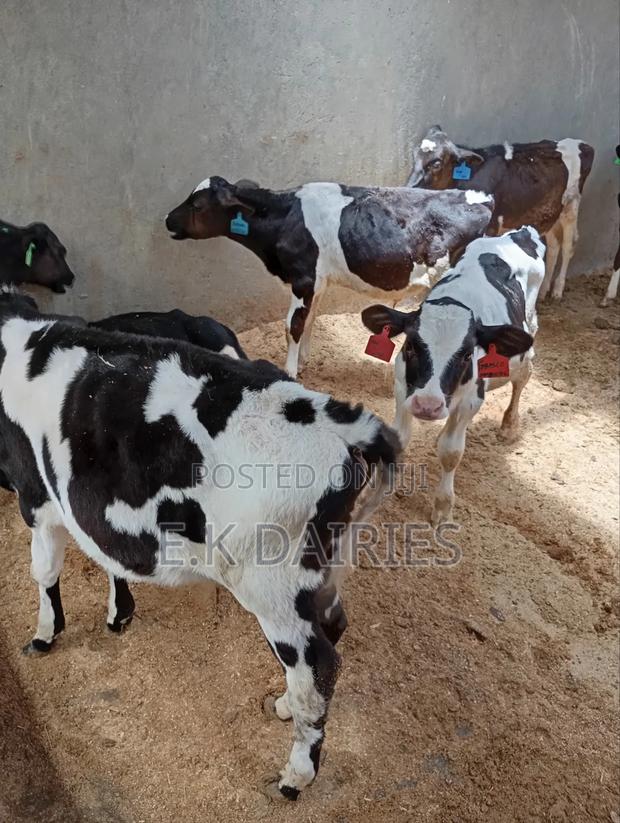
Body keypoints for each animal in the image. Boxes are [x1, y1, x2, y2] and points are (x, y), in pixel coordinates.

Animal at [165, 176, 494, 378]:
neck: (287, 216)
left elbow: (293, 325)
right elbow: (310, 318)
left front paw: (290, 371)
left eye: (197, 204)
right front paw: (304, 361)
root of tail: (481, 198)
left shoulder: (302, 279)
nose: (167, 219)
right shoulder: (318, 280)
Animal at [361, 226, 544, 526]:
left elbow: (451, 453)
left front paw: (443, 506)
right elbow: (398, 440)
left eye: (467, 355)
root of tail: (519, 233)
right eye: (410, 346)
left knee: (523, 377)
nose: (428, 405)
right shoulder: (403, 389)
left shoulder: (470, 401)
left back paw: (508, 426)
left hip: (528, 337)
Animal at [406, 126, 594, 302]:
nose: (410, 186)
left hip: (571, 207)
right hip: (551, 213)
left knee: (568, 246)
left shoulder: (490, 228)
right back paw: (543, 291)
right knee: (554, 246)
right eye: (414, 155)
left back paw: (557, 290)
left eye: (436, 163)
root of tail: (581, 144)